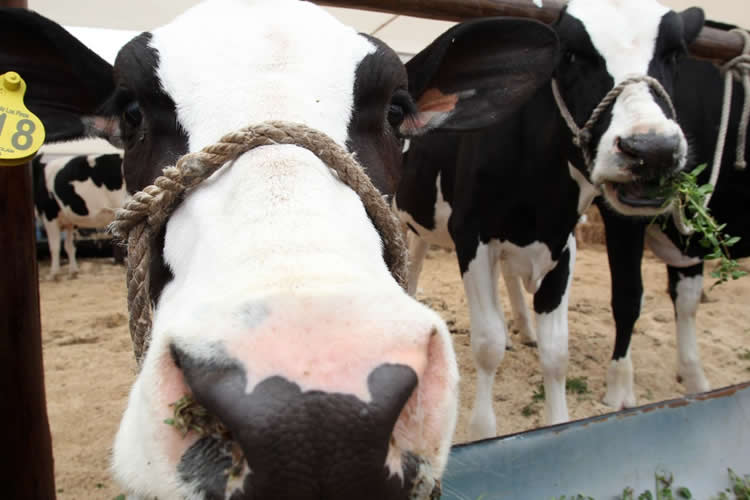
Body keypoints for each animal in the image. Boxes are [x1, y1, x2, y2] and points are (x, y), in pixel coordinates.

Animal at [395, 0, 705, 440]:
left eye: (674, 54)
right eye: (571, 55)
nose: (652, 149)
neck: (540, 202)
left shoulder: (563, 242)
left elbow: (557, 352)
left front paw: (557, 423)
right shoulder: (471, 235)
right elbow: (488, 343)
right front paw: (483, 430)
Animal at [596, 20, 750, 410]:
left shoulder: (690, 232)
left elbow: (687, 299)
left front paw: (695, 379)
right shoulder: (623, 216)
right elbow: (628, 297)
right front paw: (619, 391)